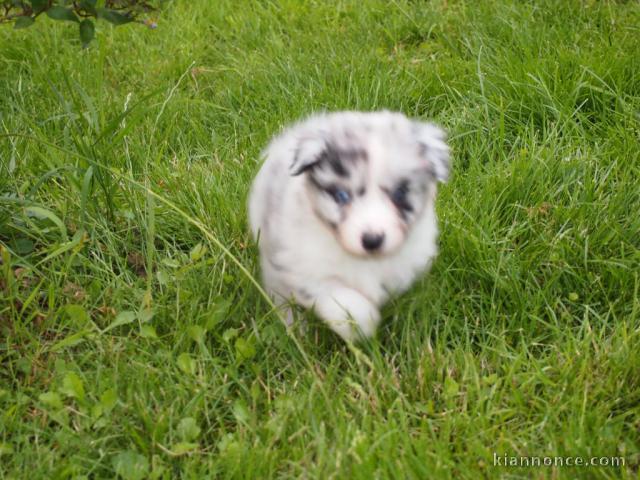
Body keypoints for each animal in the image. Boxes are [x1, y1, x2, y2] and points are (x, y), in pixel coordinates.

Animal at [246, 110, 450, 342]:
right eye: (342, 196)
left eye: (399, 194)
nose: (372, 240)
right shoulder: (304, 269)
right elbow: (342, 299)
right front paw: (361, 324)